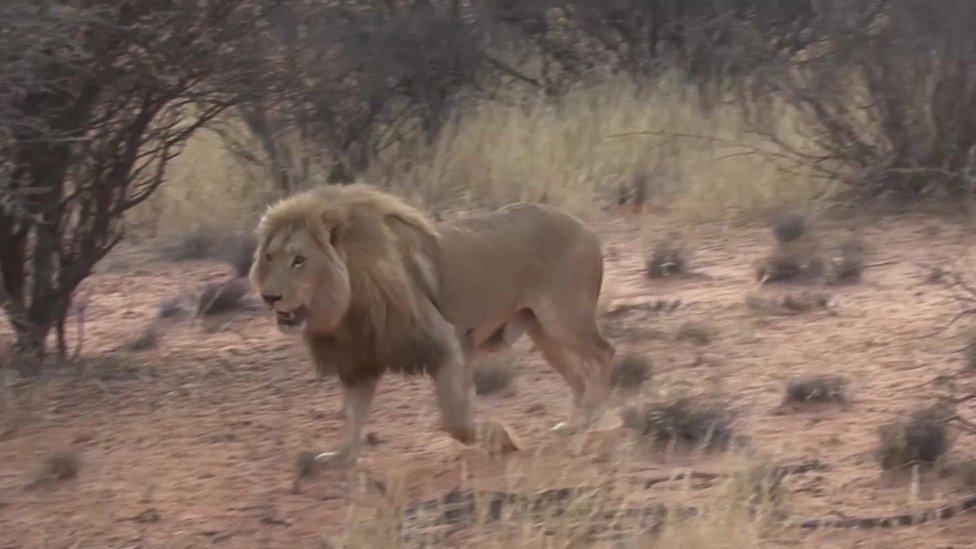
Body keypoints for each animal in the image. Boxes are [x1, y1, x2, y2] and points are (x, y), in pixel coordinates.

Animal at [248, 184, 612, 466]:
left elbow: (455, 420)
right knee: (578, 376)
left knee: (603, 354)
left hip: (564, 320)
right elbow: (352, 417)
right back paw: (576, 424)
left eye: (299, 260)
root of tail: (585, 226)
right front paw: (340, 458)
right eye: (269, 257)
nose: (270, 297)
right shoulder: (359, 359)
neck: (345, 306)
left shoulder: (445, 341)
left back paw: (592, 421)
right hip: (543, 331)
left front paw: (500, 437)